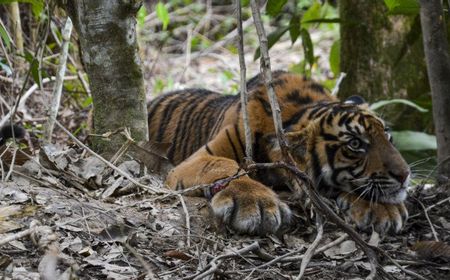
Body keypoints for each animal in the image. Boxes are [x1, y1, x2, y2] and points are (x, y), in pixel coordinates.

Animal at [149, 71, 412, 235]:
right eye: (356, 144)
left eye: (388, 135)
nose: (405, 174)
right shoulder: (197, 158)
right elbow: (224, 165)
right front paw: (255, 203)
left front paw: (383, 210)